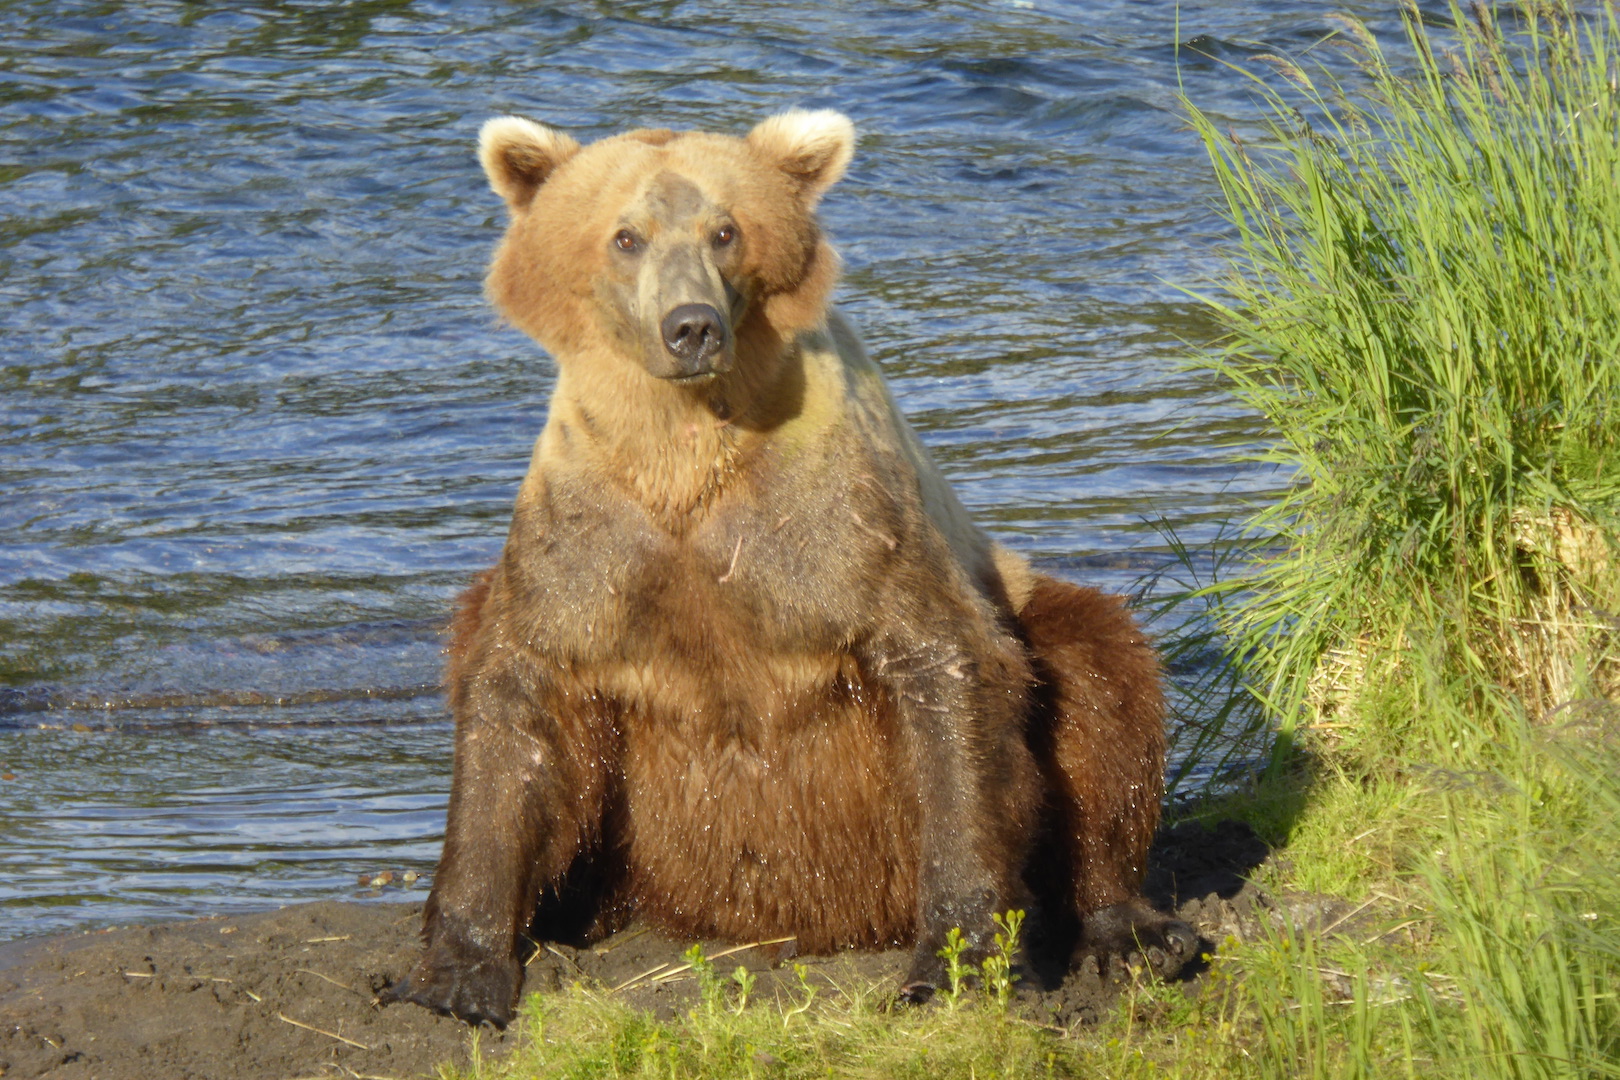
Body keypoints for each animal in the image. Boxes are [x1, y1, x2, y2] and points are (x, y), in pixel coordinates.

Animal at [381, 109, 1193, 1028]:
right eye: (625, 235)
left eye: (725, 230)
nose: (692, 325)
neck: (684, 452)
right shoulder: (589, 542)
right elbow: (515, 708)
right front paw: (453, 975)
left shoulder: (839, 524)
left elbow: (950, 683)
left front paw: (956, 958)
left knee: (1097, 684)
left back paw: (1132, 931)